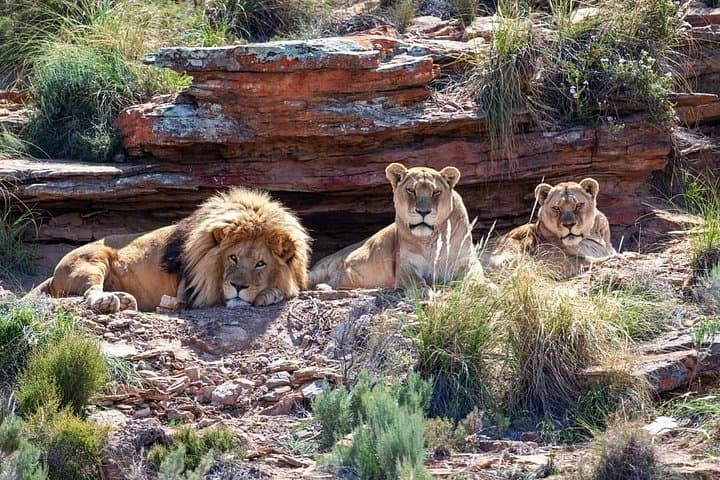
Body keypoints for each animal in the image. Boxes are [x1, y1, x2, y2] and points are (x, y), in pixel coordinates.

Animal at [27, 187, 311, 313]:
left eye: (261, 263)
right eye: (232, 257)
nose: (239, 286)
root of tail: (53, 275)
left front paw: (270, 294)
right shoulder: (192, 292)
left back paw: (124, 299)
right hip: (92, 262)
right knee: (89, 292)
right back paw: (107, 301)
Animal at [308, 162, 482, 294]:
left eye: (436, 192)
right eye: (411, 190)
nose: (423, 212)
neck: (430, 241)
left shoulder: (466, 260)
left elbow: (475, 275)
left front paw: (483, 286)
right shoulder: (405, 264)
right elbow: (415, 280)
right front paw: (422, 291)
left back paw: (324, 287)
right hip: (317, 271)